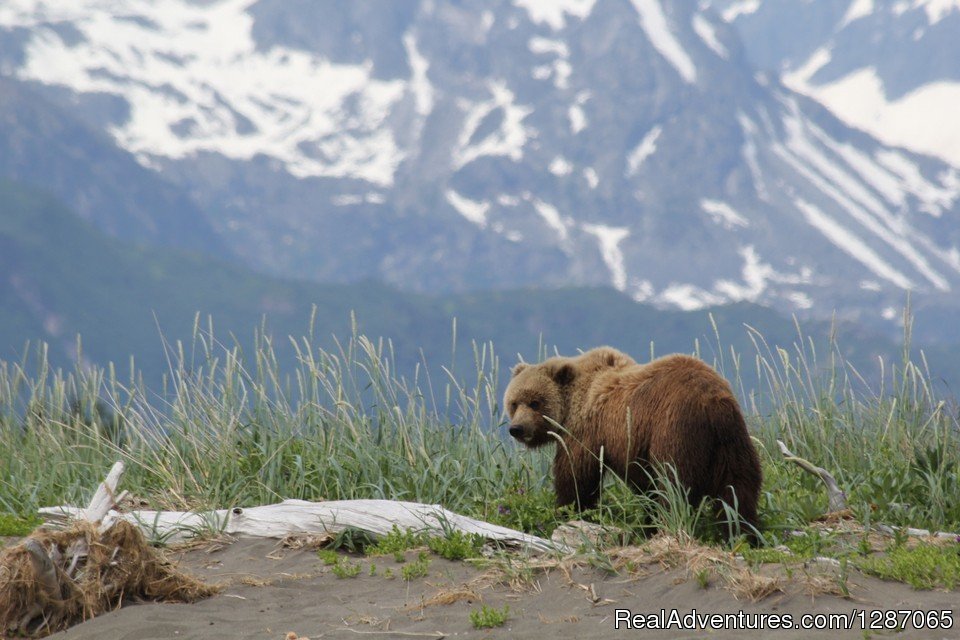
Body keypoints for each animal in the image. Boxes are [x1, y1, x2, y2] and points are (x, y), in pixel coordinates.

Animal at [506, 344, 760, 536]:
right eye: (514, 402)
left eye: (535, 402)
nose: (516, 428)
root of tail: (712, 402)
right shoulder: (632, 446)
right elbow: (644, 486)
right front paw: (646, 522)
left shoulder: (587, 431)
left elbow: (576, 476)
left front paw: (568, 510)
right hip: (731, 440)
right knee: (738, 488)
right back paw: (742, 532)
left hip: (675, 429)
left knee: (674, 484)